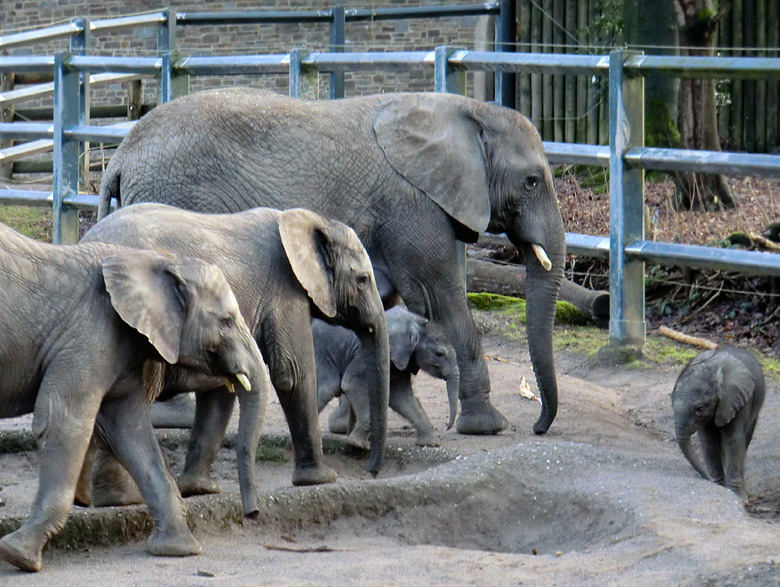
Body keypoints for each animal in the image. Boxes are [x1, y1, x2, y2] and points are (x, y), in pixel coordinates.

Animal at [81, 202, 390, 492]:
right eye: (363, 279)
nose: (372, 472)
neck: (312, 221)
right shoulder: (285, 288)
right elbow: (293, 374)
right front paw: (321, 479)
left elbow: (222, 389)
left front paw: (199, 489)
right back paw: (119, 498)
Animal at [314, 306, 458, 448]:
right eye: (439, 353)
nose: (446, 426)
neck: (414, 322)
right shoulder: (370, 355)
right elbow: (352, 383)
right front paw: (357, 444)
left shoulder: (401, 361)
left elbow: (401, 397)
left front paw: (431, 442)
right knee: (328, 387)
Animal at [672, 346, 764, 504]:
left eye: (700, 408)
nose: (704, 477)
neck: (713, 369)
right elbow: (708, 440)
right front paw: (719, 485)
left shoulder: (737, 399)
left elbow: (733, 440)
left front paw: (738, 497)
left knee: (745, 437)